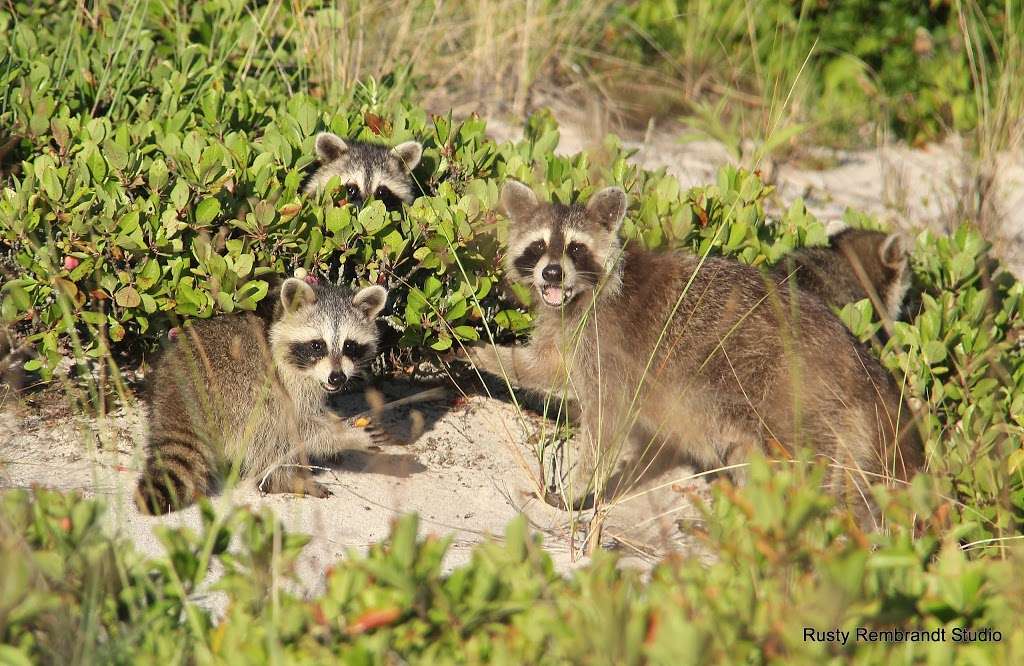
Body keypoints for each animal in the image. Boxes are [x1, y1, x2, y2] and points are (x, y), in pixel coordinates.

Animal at [135, 274, 387, 514]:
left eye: (349, 346)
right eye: (317, 345)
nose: (337, 378)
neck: (276, 321)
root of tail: (179, 393)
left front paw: (337, 421)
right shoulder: (284, 377)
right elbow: (299, 425)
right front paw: (345, 435)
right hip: (237, 392)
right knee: (270, 430)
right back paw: (279, 480)